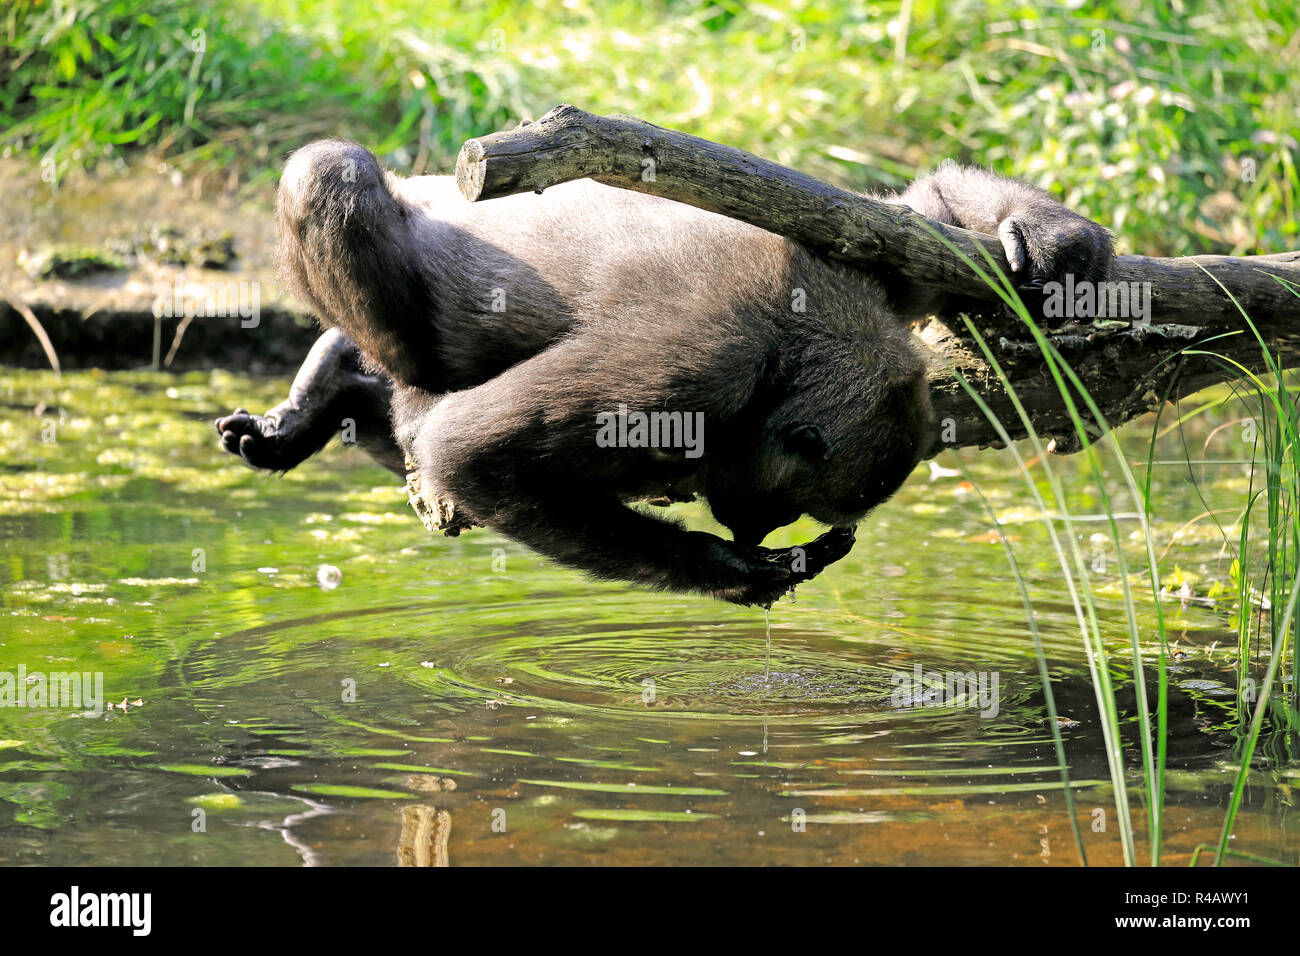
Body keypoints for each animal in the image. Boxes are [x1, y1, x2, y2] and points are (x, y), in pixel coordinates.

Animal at [217, 139, 1112, 605]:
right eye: (790, 506)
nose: (758, 532)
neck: (794, 344)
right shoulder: (696, 363)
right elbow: (471, 454)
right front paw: (734, 573)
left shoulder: (873, 269)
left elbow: (916, 214)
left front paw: (1056, 240)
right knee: (335, 172)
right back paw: (373, 381)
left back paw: (334, 383)